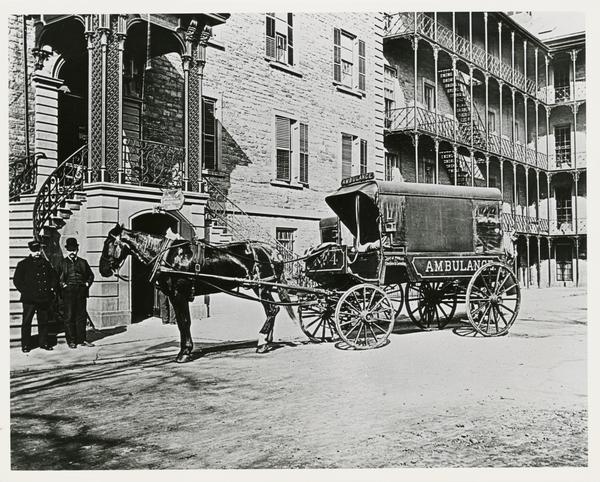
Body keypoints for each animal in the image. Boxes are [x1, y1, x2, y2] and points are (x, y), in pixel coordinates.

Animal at [99, 222, 296, 362]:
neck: (167, 256)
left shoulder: (178, 295)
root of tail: (272, 250)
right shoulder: (178, 296)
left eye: (109, 243)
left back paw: (262, 341)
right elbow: (183, 322)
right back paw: (267, 341)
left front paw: (184, 352)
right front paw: (186, 349)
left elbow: (184, 322)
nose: (103, 270)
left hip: (261, 286)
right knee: (272, 310)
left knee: (272, 310)